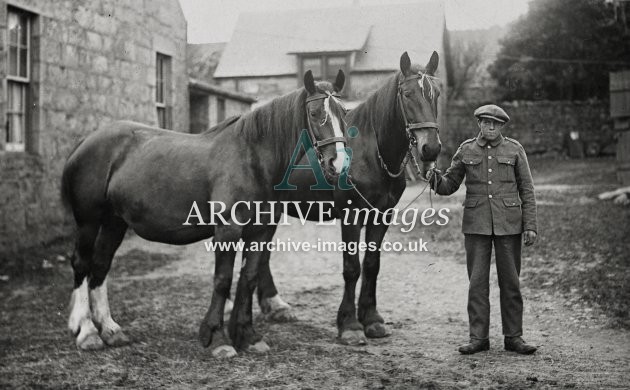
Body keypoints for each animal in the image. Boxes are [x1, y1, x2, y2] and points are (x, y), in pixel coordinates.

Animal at [61, 69, 348, 356]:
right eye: (315, 113)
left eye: (343, 112)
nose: (339, 163)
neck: (251, 159)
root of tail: (86, 141)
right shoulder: (227, 230)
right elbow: (222, 280)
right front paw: (217, 338)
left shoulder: (261, 231)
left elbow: (249, 277)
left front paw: (247, 335)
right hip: (88, 221)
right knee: (82, 263)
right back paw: (87, 331)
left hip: (114, 222)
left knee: (101, 264)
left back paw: (110, 329)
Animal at [254, 51, 442, 344]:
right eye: (408, 93)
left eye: (437, 93)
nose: (430, 148)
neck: (371, 152)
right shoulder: (351, 215)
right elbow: (352, 267)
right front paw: (350, 324)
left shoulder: (382, 215)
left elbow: (372, 264)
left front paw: (372, 318)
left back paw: (273, 304)